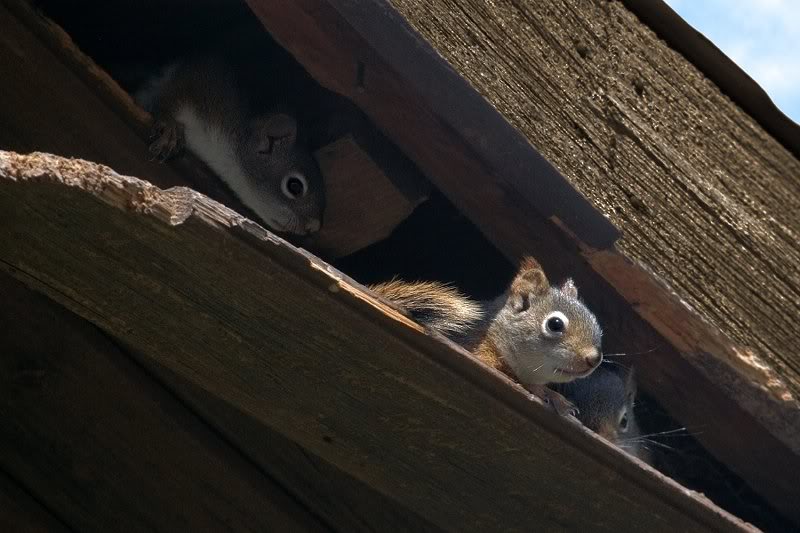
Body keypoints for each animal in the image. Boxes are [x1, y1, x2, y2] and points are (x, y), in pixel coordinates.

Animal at [371, 256, 603, 415]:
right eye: (555, 324)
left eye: (595, 322)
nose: (594, 359)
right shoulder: (477, 350)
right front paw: (540, 391)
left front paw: (557, 398)